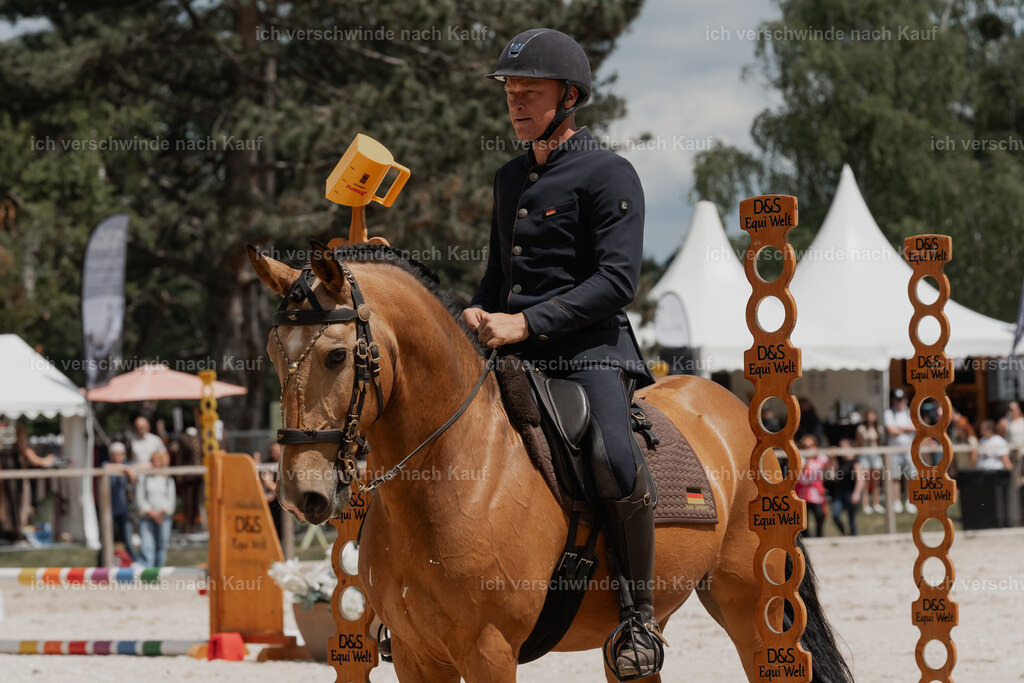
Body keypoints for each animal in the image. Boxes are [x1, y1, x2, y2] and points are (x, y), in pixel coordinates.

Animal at [248, 241, 852, 683]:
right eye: (274, 353)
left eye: (336, 355)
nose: (301, 495)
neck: (452, 475)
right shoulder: (420, 657)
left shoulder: (489, 652)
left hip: (750, 605)